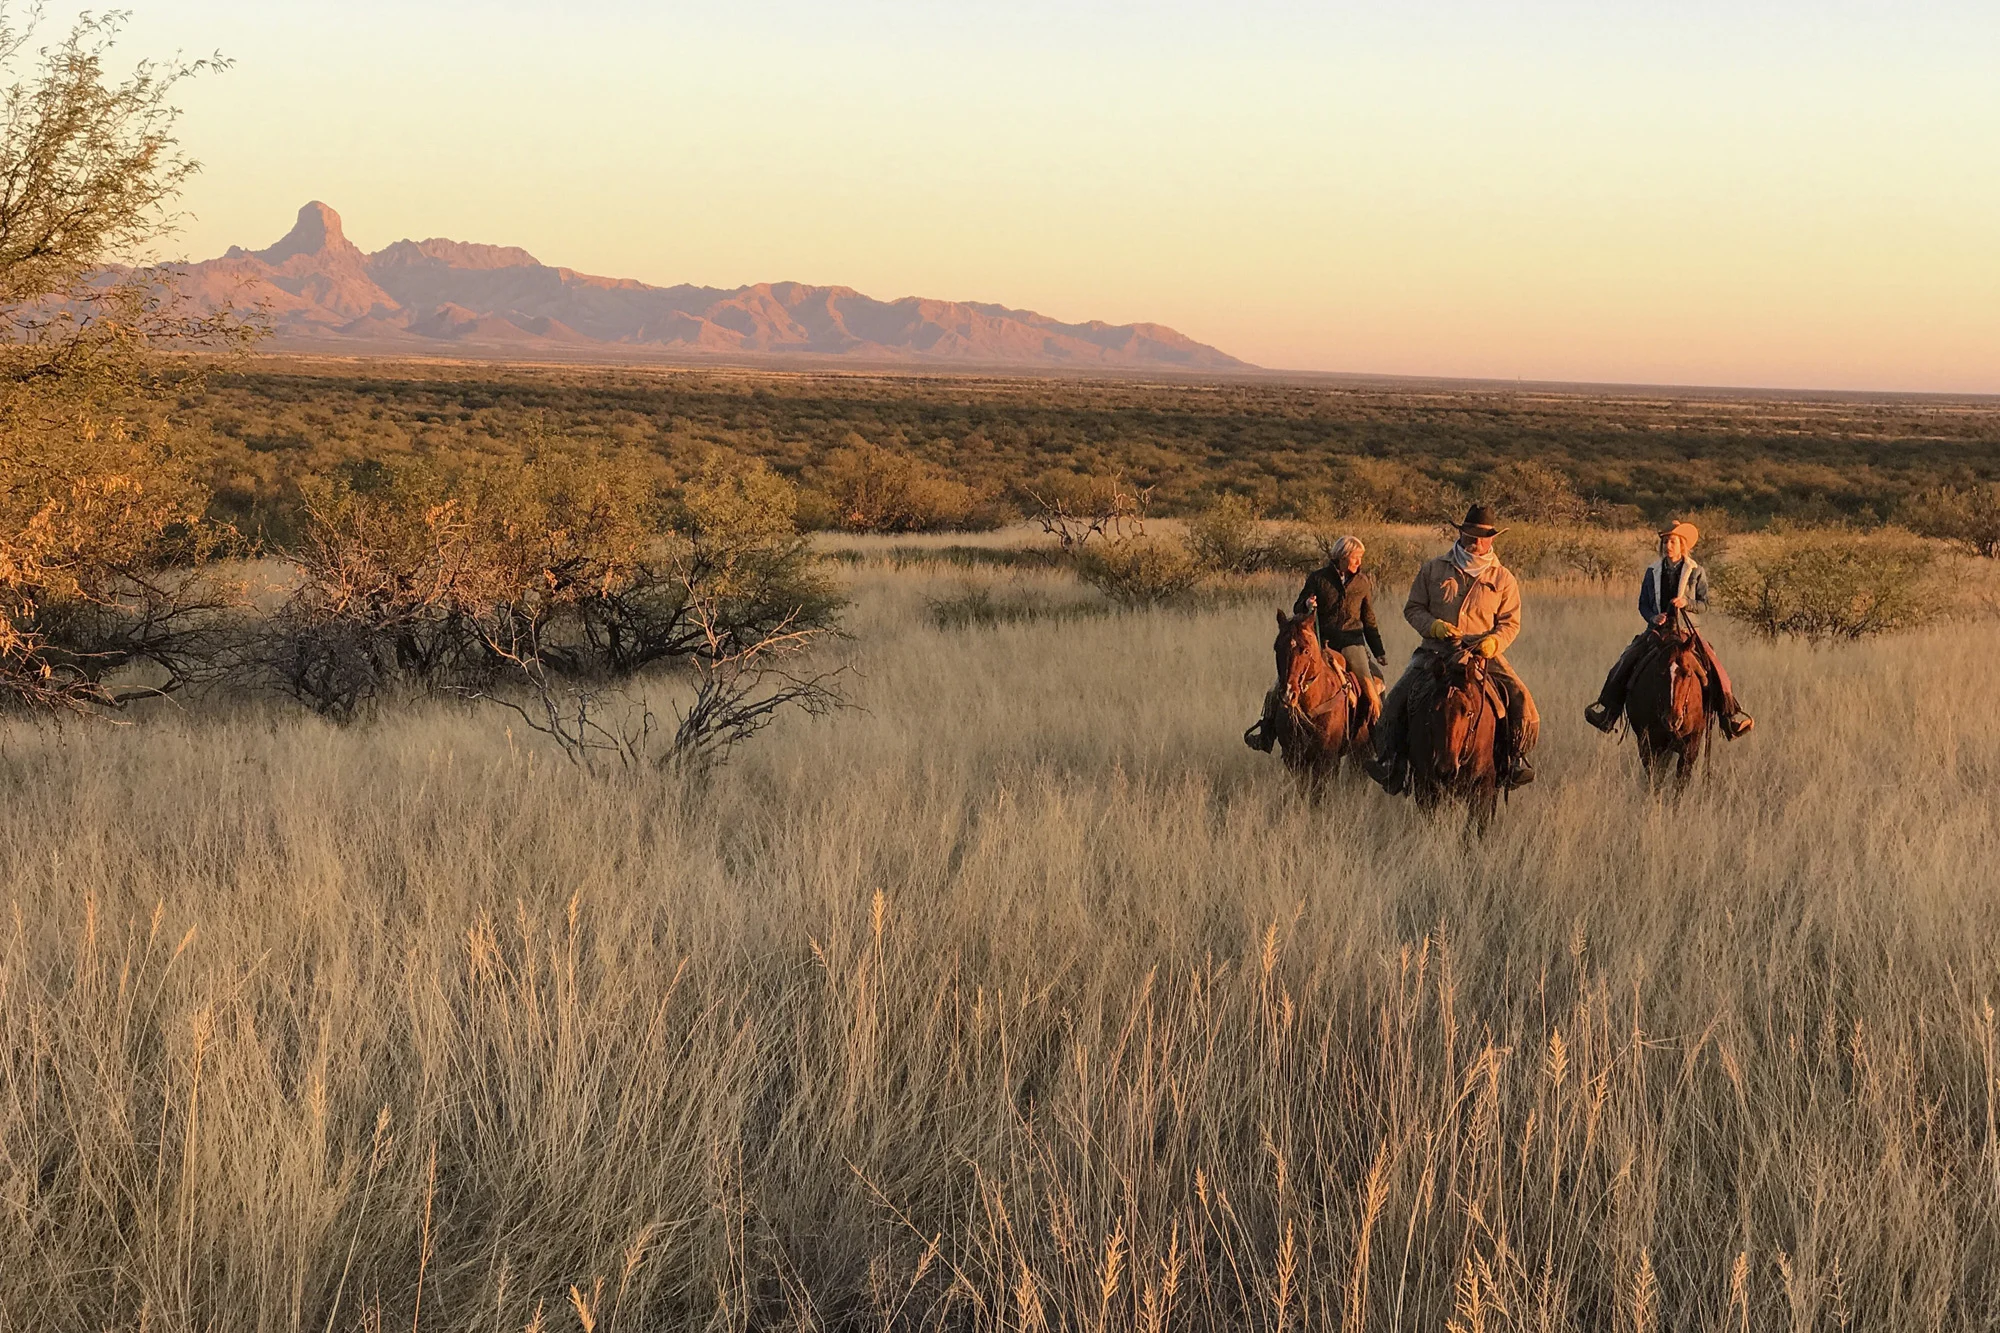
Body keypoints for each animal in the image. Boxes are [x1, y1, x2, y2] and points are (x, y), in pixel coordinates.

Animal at [1272, 596, 1368, 784]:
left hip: (1360, 750)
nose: (1288, 694)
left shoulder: (1326, 757)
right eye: (1277, 648)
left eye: (1306, 650)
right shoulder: (1294, 758)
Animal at [1624, 612, 1720, 788]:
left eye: (1688, 674)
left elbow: (1681, 782)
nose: (1672, 721)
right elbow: (1654, 778)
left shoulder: (1691, 745)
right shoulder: (1648, 743)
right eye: (1658, 673)